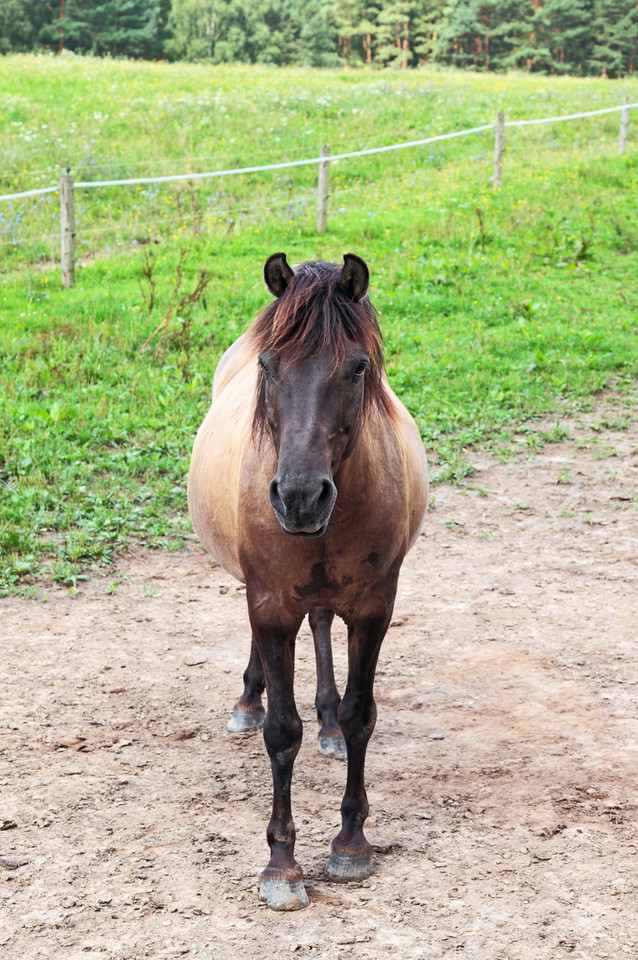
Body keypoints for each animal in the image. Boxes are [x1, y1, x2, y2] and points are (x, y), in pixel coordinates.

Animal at [189, 251, 430, 912]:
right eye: (270, 367)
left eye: (357, 367)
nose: (298, 497)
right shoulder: (270, 606)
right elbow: (280, 732)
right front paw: (282, 864)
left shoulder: (375, 608)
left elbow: (360, 714)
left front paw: (351, 843)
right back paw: (248, 700)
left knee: (322, 625)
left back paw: (327, 724)